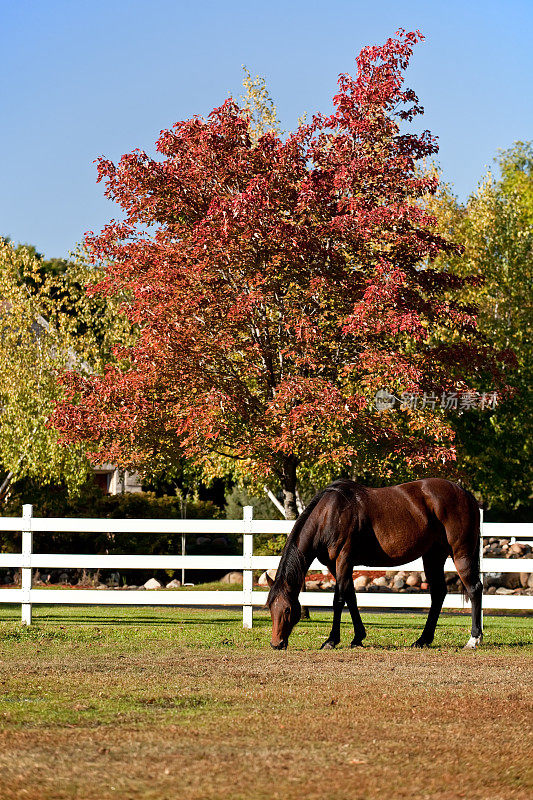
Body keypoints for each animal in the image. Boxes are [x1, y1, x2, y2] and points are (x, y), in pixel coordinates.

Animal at [266, 476, 482, 648]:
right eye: (269, 606)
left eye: (287, 609)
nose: (276, 643)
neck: (330, 513)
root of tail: (465, 494)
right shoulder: (334, 565)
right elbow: (351, 597)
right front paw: (358, 637)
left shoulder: (344, 559)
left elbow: (339, 599)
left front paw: (331, 640)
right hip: (432, 556)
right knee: (438, 594)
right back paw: (423, 640)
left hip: (461, 554)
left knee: (474, 589)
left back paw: (473, 639)